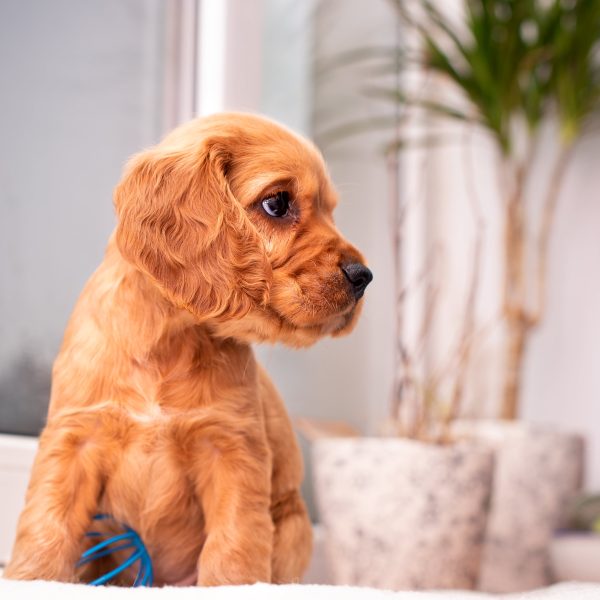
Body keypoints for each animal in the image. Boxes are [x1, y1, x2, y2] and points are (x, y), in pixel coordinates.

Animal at [3, 112, 370, 584]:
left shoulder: (232, 449)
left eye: (331, 211)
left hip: (295, 528)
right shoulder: (74, 439)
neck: (169, 339)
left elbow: (233, 547)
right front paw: (32, 579)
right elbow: (46, 527)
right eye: (277, 203)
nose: (364, 276)